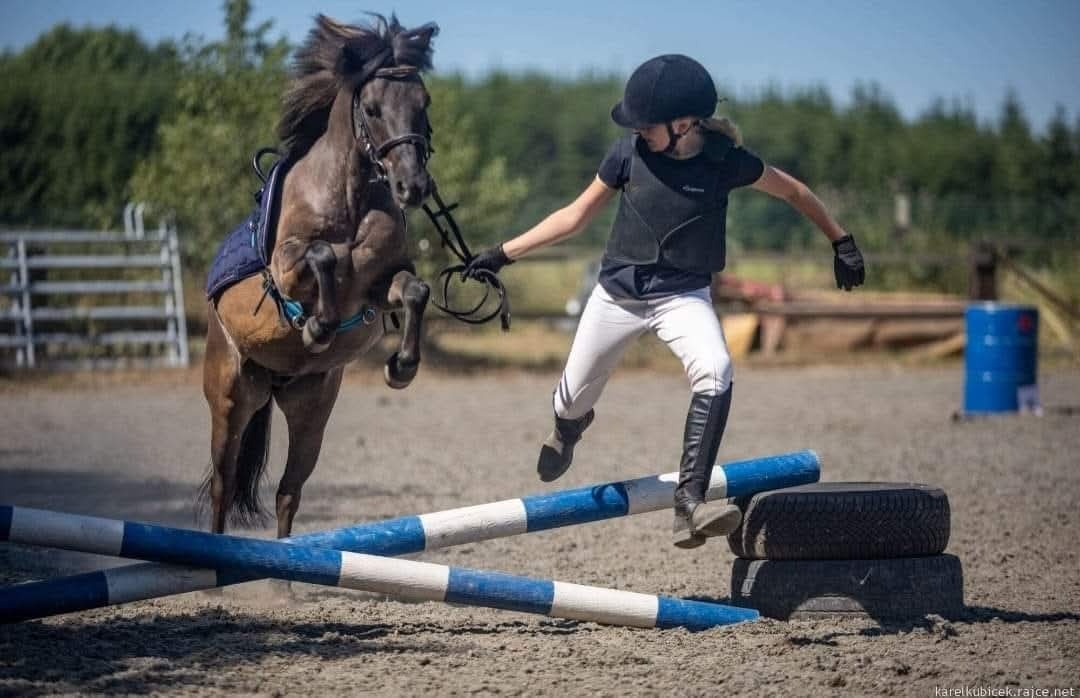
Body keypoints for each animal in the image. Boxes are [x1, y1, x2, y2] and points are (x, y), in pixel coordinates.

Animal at [201, 14, 438, 539]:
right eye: (371, 109)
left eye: (424, 103)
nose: (413, 187)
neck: (349, 195)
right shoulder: (287, 268)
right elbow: (324, 257)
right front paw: (317, 327)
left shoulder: (381, 284)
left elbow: (415, 289)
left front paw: (401, 367)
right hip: (230, 397)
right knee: (223, 486)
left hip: (312, 409)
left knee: (289, 492)